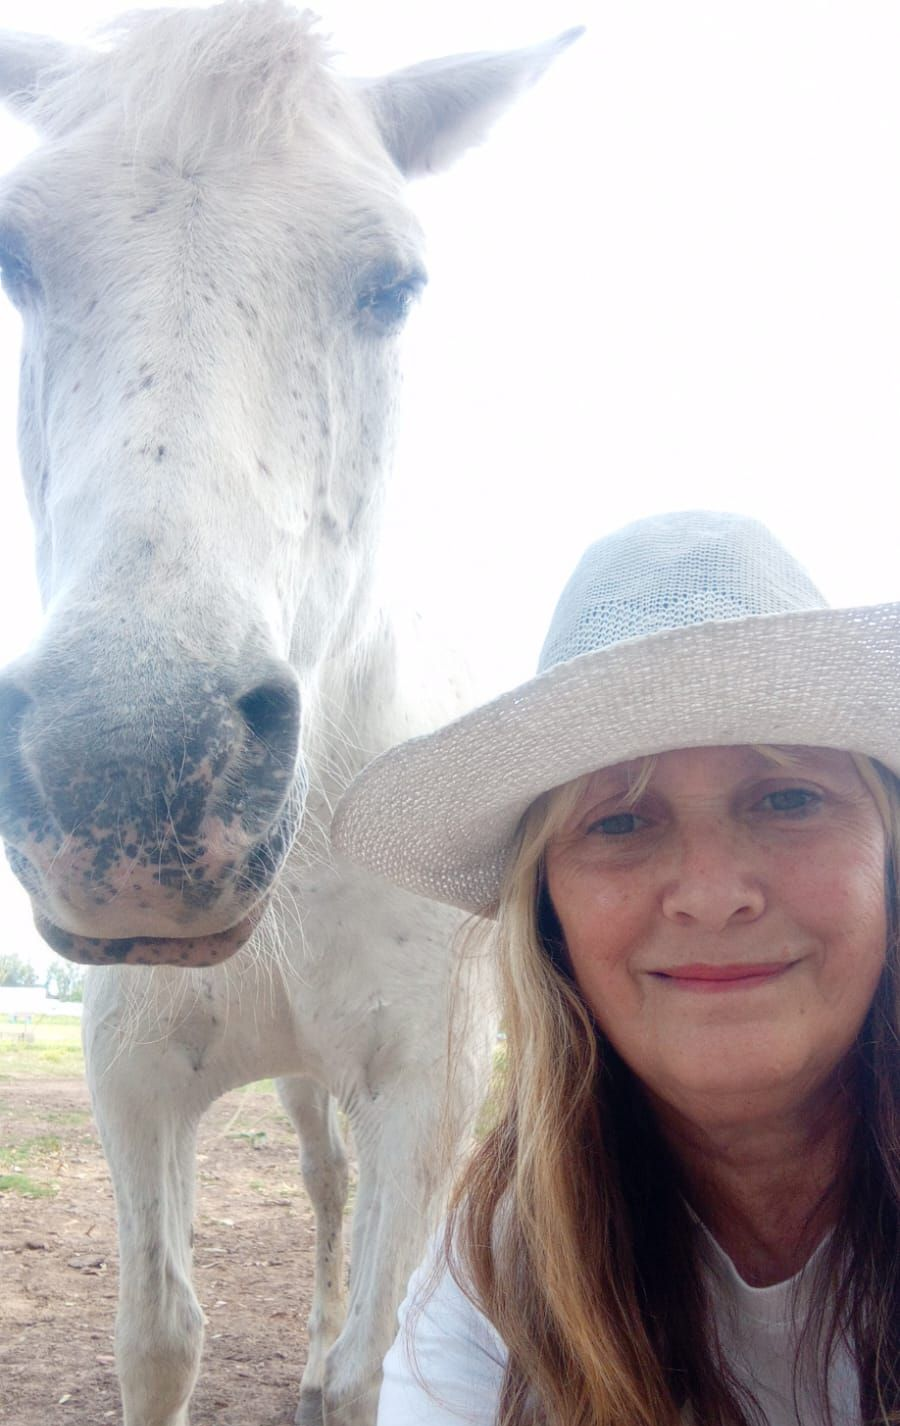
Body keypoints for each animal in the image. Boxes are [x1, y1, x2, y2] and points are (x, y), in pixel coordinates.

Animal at [0, 4, 579, 1422]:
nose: (129, 775)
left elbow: (376, 1362)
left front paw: (334, 1368)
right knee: (321, 1186)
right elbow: (161, 1335)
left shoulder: (427, 1083)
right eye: (19, 257)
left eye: (394, 283)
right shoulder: (137, 1075)